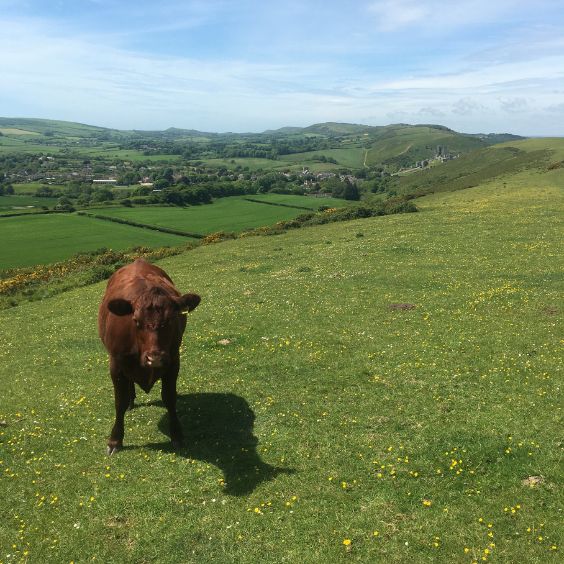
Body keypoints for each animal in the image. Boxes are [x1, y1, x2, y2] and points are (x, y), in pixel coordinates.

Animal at [98, 258, 200, 454]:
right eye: (136, 321)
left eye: (171, 319)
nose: (155, 358)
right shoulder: (116, 364)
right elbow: (119, 402)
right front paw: (115, 440)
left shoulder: (173, 361)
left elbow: (169, 397)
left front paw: (177, 434)